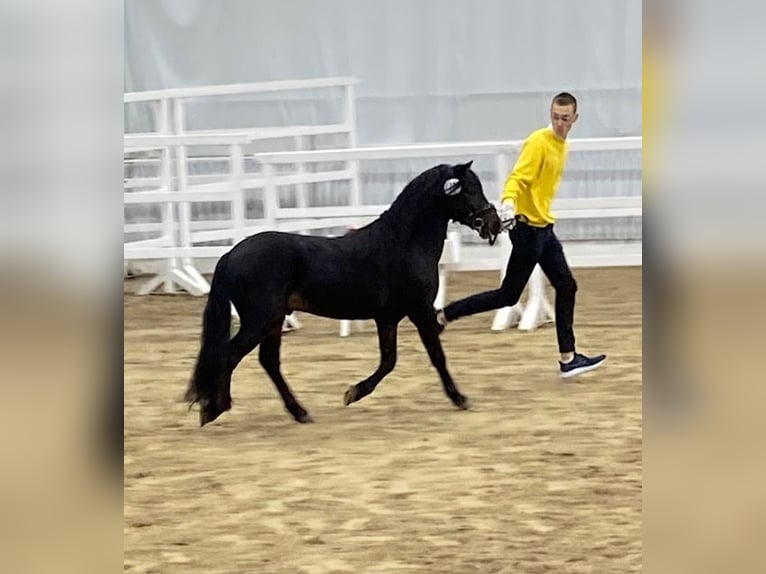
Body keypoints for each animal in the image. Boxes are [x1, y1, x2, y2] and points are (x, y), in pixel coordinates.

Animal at [186, 162, 504, 428]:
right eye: (470, 189)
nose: (494, 224)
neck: (403, 243)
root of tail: (230, 254)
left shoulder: (387, 318)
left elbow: (388, 361)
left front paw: (353, 392)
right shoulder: (420, 310)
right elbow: (436, 356)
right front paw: (459, 398)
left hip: (273, 320)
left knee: (268, 362)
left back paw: (299, 412)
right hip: (259, 321)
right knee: (229, 355)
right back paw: (215, 407)